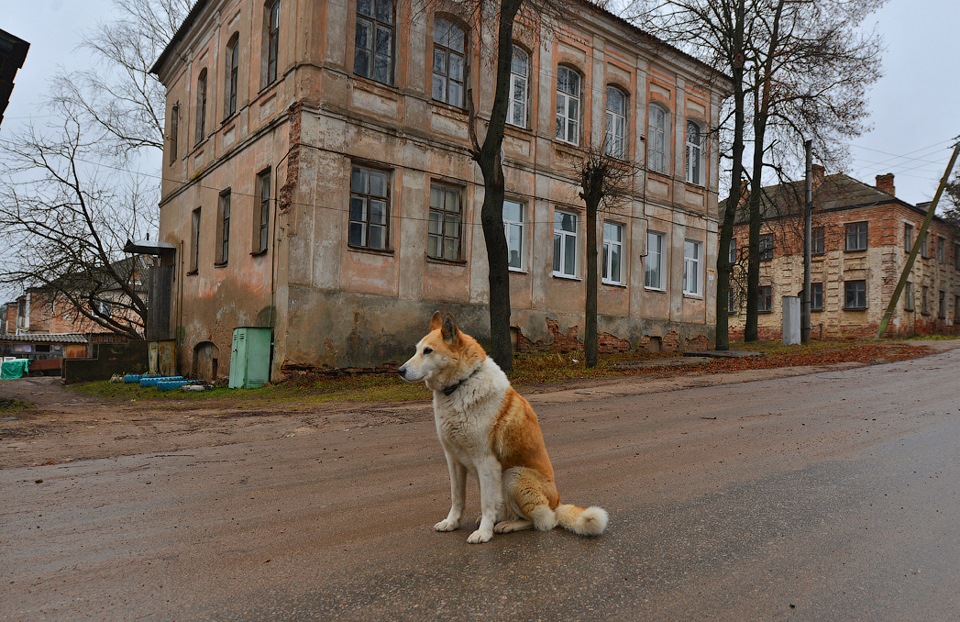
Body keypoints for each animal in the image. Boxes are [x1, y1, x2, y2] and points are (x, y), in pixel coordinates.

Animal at [398, 314, 608, 544]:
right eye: (417, 349)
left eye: (428, 351)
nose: (400, 371)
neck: (462, 384)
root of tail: (557, 503)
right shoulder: (453, 460)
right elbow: (457, 498)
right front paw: (451, 523)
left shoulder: (486, 461)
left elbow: (486, 503)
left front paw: (483, 532)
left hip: (513, 476)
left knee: (544, 521)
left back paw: (506, 525)